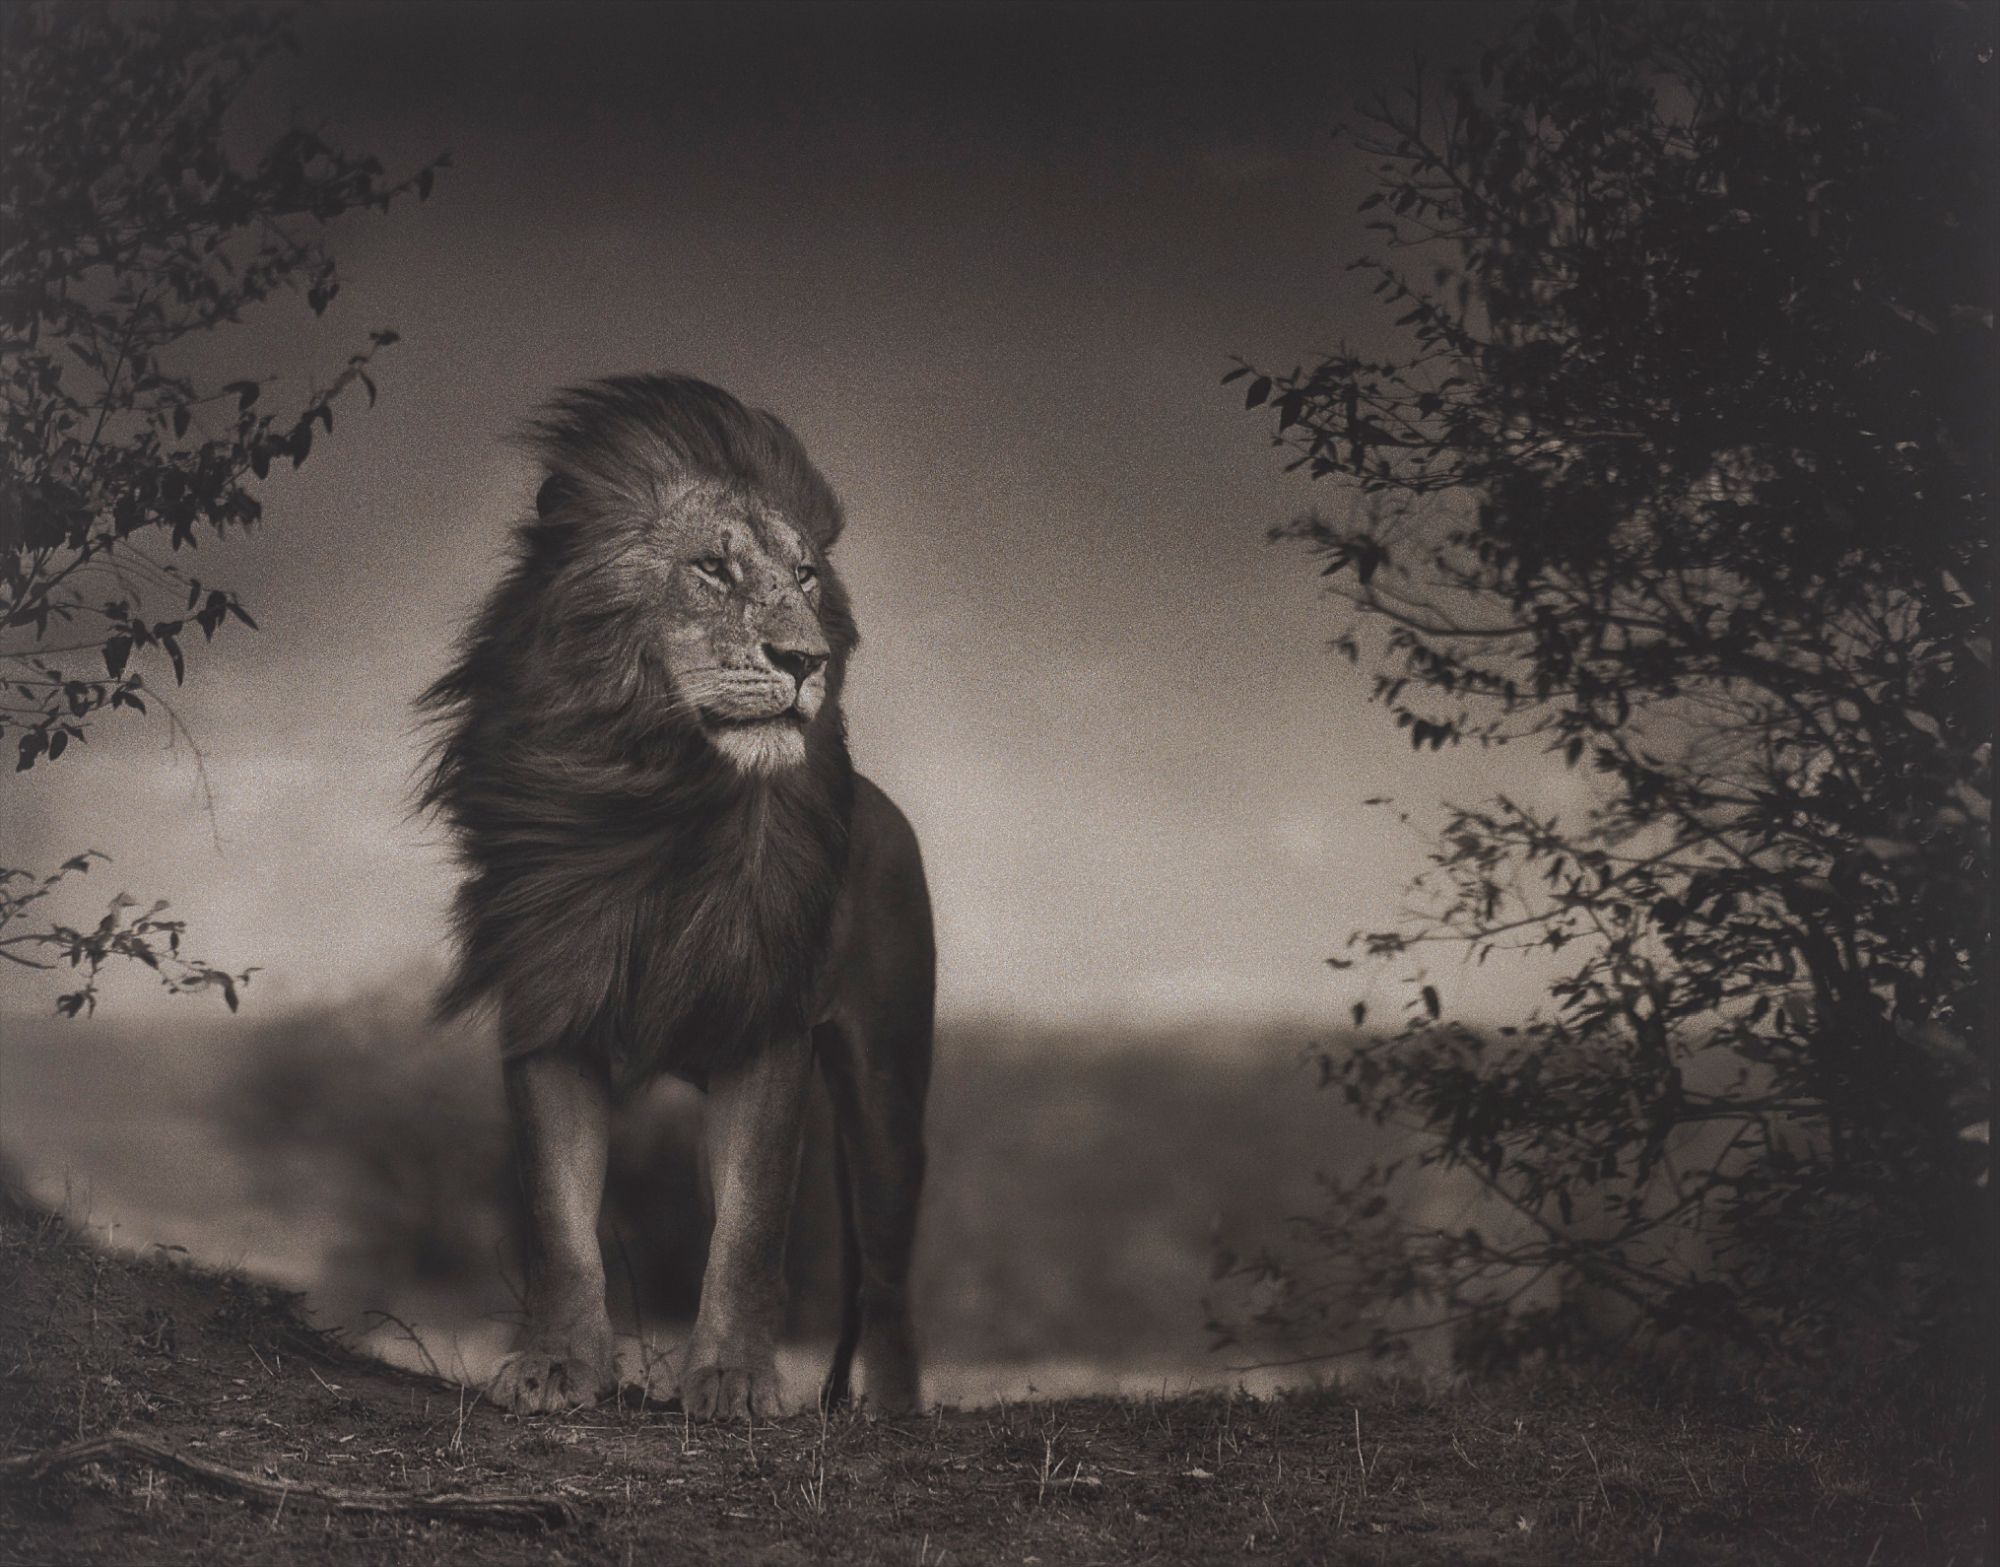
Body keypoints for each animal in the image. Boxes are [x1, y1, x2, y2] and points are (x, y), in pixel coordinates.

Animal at [418, 374, 934, 1420]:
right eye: (712, 569)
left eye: (807, 577)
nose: (807, 661)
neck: (656, 805)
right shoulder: (549, 1011)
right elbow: (560, 1219)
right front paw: (556, 1364)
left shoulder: (770, 1030)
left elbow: (750, 1228)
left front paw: (733, 1378)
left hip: (889, 1092)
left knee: (889, 1277)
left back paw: (892, 1411)